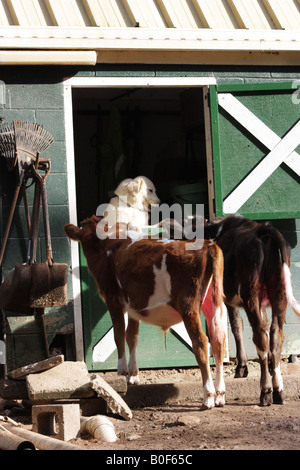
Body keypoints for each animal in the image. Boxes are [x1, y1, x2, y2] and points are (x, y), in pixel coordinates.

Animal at [65, 216, 225, 408]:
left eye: (87, 241)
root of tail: (208, 245)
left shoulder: (113, 300)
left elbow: (119, 335)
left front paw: (121, 372)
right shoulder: (134, 306)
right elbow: (132, 336)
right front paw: (133, 374)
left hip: (188, 307)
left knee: (201, 342)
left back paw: (208, 396)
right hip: (215, 304)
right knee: (218, 341)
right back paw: (220, 395)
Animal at [204, 215, 300, 406]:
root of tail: (263, 231)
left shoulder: (228, 300)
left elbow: (236, 326)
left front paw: (241, 367)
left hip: (252, 295)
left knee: (260, 337)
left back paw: (266, 391)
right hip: (280, 293)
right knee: (275, 335)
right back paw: (279, 391)